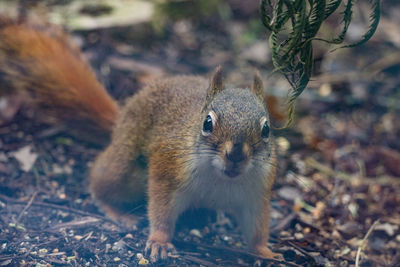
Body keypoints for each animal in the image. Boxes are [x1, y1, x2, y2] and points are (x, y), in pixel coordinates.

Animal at [0, 16, 282, 262]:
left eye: (267, 129)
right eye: (208, 123)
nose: (235, 155)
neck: (221, 178)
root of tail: (121, 119)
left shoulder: (256, 193)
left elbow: (257, 227)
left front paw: (265, 253)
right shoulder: (166, 170)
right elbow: (161, 209)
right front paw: (159, 240)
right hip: (125, 170)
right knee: (99, 182)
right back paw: (117, 211)